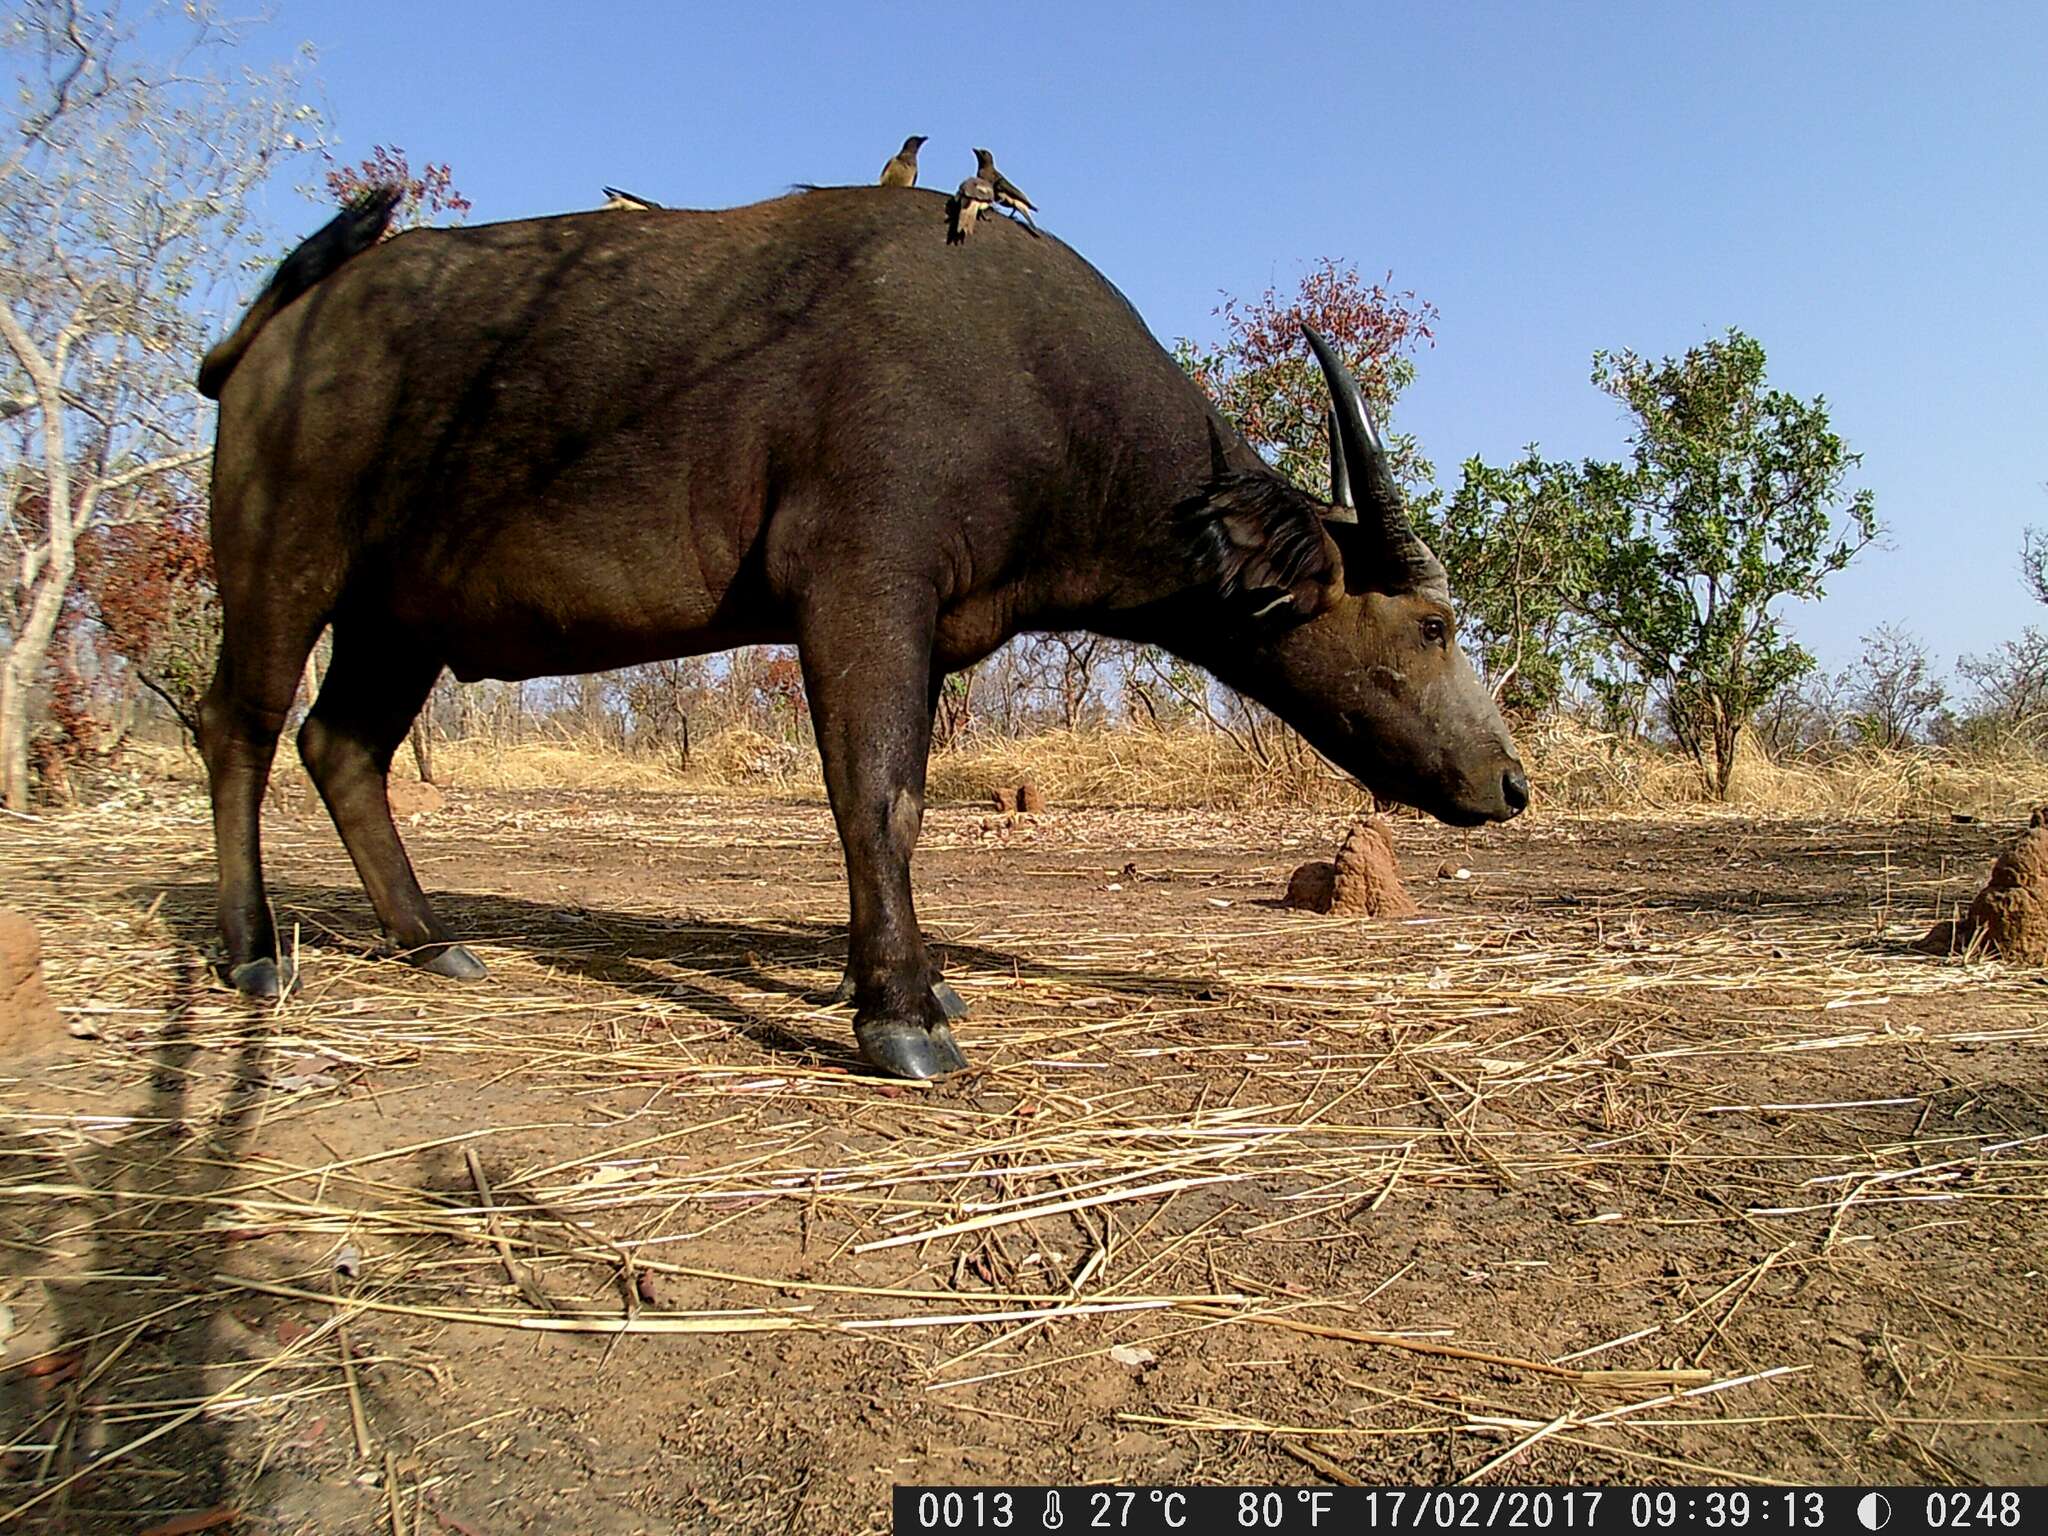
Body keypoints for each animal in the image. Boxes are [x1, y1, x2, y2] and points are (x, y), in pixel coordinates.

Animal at [195, 186, 1523, 1081]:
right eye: (1434, 622)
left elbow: (914, 805)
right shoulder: (859, 592)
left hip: (394, 623)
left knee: (342, 750)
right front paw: (897, 1011)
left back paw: (429, 942)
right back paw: (251, 948)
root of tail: (279, 329)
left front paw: (903, 974)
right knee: (241, 730)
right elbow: (871, 800)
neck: (1037, 385)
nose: (1507, 782)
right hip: (282, 567)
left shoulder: (923, 635)